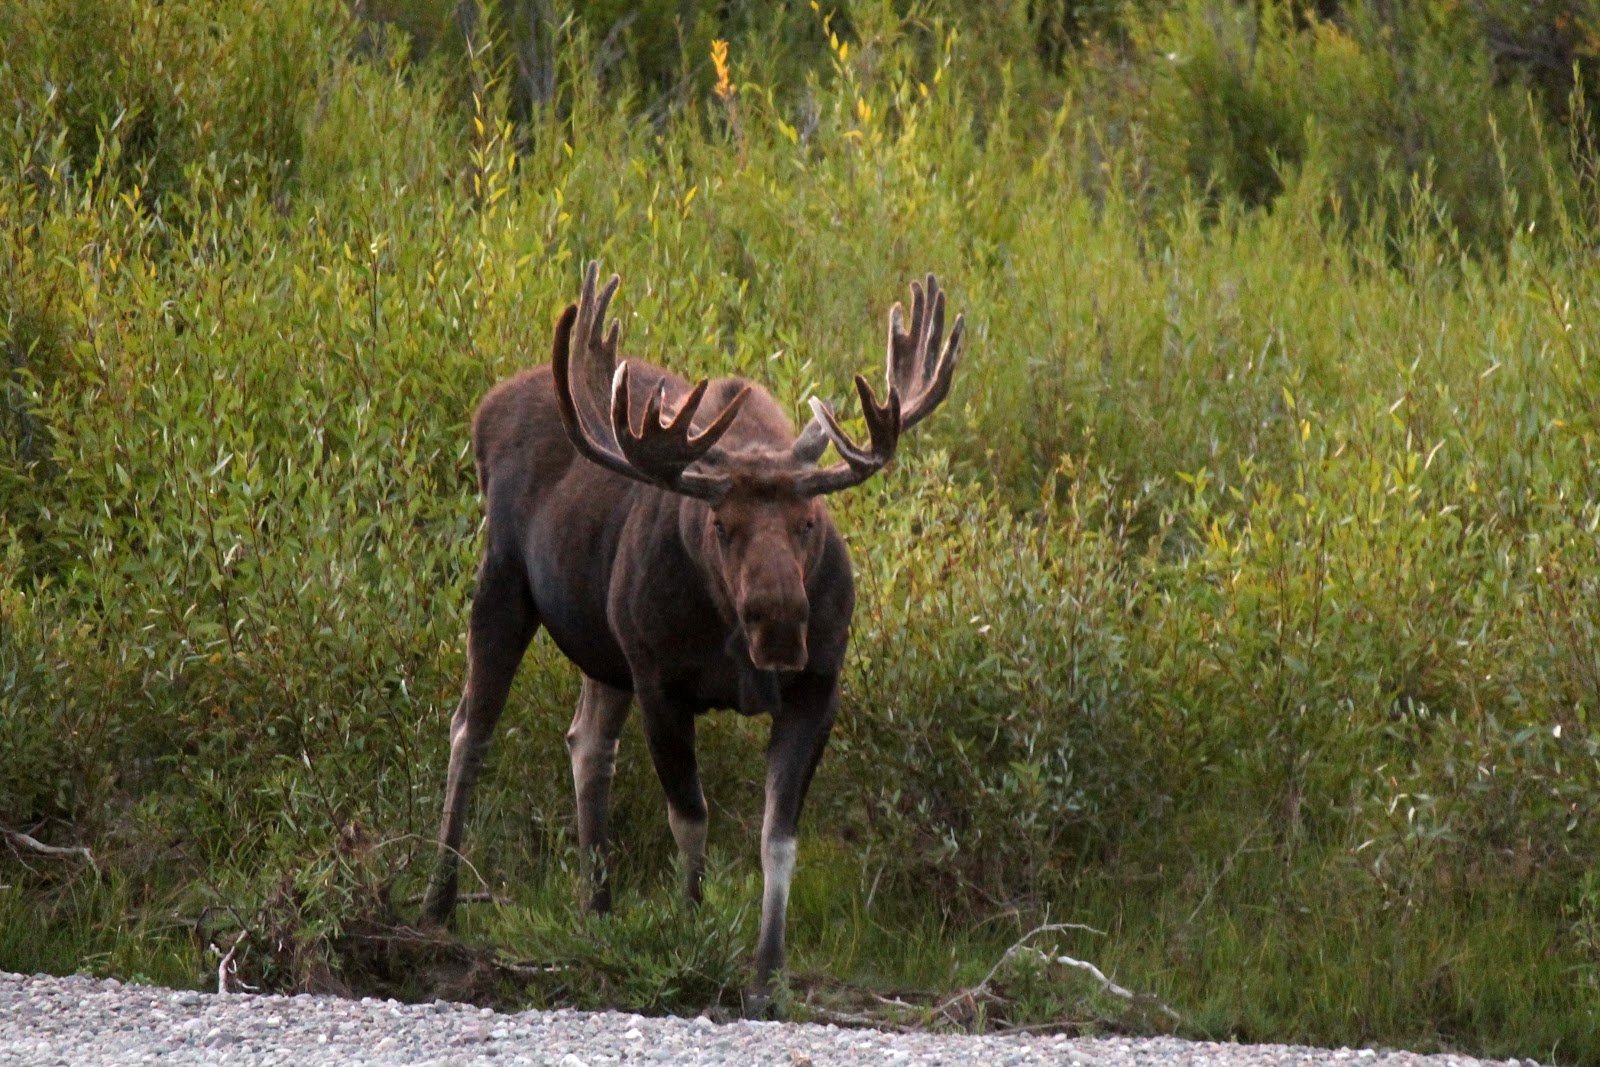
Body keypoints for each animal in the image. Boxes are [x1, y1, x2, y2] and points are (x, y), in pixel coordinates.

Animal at [421, 261, 963, 997]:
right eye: (719, 525)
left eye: (809, 522)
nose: (781, 627)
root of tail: (486, 406)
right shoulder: (661, 680)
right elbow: (691, 816)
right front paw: (692, 930)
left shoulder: (818, 684)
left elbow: (777, 832)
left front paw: (770, 965)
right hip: (504, 577)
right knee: (471, 729)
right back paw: (438, 904)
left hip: (604, 648)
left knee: (586, 741)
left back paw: (598, 909)